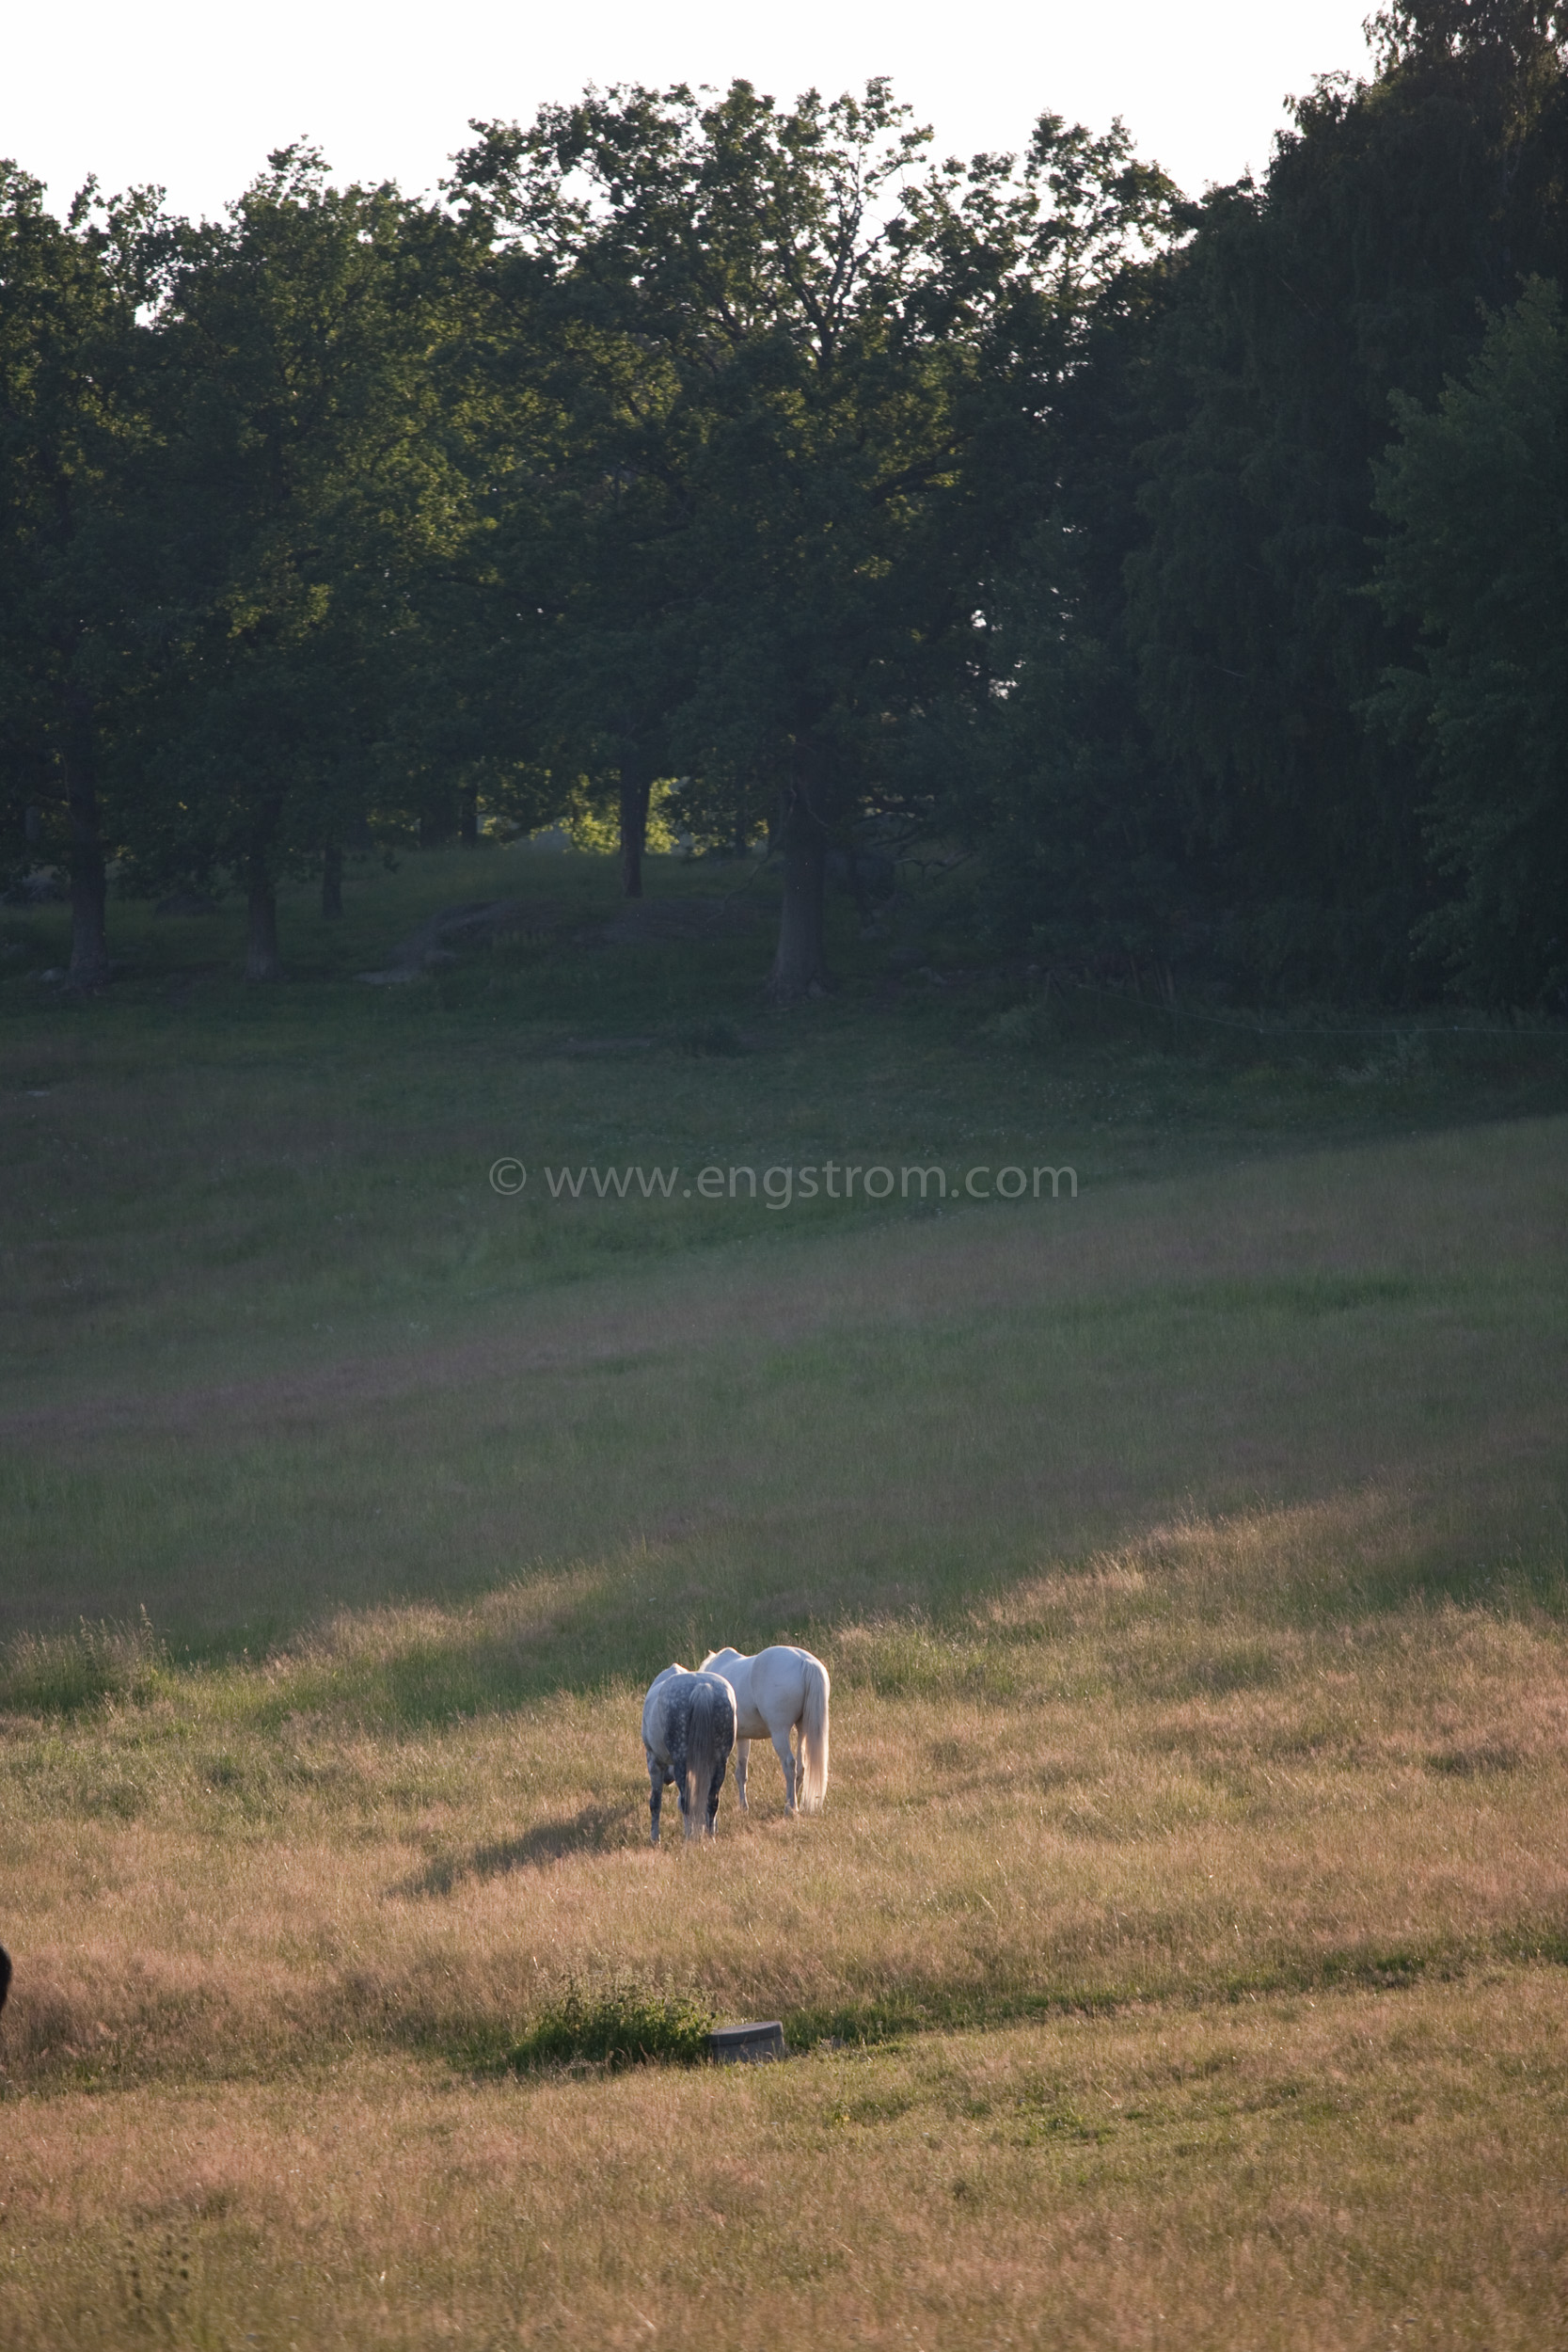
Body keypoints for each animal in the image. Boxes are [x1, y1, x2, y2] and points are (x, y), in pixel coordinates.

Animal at [639, 1665, 737, 1844]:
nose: (667, 1779)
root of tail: (702, 1687)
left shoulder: (653, 1761)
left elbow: (655, 1802)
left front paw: (655, 1838)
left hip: (681, 1760)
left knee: (686, 1803)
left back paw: (689, 1838)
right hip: (720, 1762)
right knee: (712, 1800)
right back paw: (710, 1837)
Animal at [695, 1656, 827, 1816]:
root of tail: (806, 1662)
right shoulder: (743, 1738)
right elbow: (741, 1773)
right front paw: (743, 1807)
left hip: (780, 1732)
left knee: (789, 1764)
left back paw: (790, 1807)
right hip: (803, 1730)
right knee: (801, 1768)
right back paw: (793, 1803)